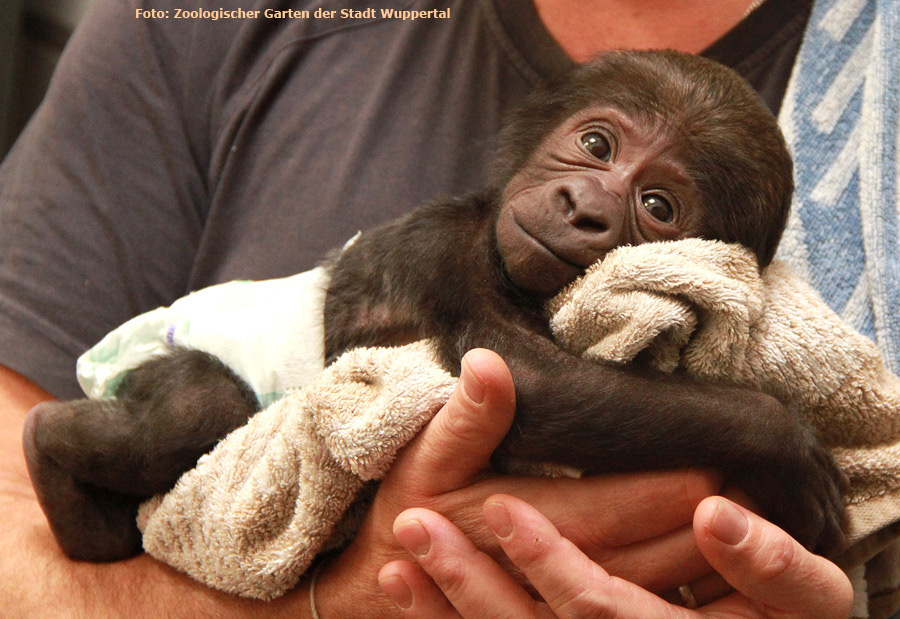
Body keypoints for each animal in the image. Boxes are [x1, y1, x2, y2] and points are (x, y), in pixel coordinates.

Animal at [24, 50, 848, 568]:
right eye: (595, 144)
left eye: (657, 205)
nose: (582, 207)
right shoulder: (442, 243)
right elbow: (523, 378)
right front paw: (777, 440)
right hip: (142, 361)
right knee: (201, 405)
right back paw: (50, 450)